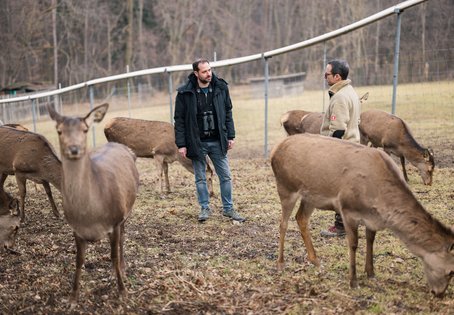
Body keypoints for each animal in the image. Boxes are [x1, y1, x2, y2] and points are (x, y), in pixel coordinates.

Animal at [47, 103, 140, 308]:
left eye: (85, 129)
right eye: (59, 130)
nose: (74, 149)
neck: (90, 215)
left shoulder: (115, 220)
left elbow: (113, 256)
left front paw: (123, 292)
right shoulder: (76, 228)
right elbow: (79, 260)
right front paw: (72, 298)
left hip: (126, 211)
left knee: (123, 238)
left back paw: (123, 267)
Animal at [272, 135, 454, 298]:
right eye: (451, 271)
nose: (439, 293)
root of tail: (275, 149)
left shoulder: (371, 218)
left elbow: (370, 240)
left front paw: (370, 272)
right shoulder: (347, 210)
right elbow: (353, 244)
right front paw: (353, 281)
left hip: (310, 197)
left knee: (301, 218)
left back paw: (315, 260)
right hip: (286, 187)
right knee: (283, 223)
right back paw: (280, 263)